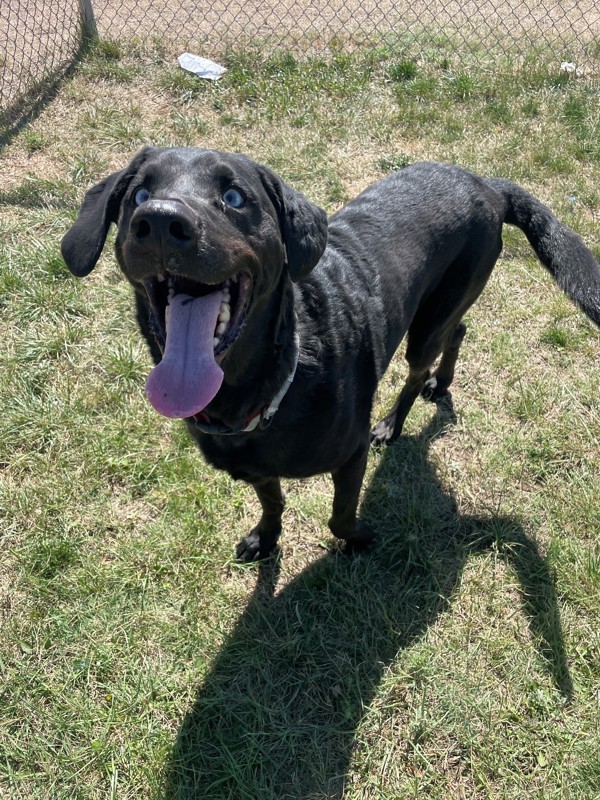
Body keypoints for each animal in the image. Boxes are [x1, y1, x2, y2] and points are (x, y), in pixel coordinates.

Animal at [62, 152, 600, 564]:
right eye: (137, 195)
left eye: (234, 198)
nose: (159, 220)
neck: (266, 385)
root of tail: (487, 185)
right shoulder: (257, 470)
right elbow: (273, 502)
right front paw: (265, 538)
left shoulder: (351, 455)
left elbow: (340, 516)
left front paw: (359, 540)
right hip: (441, 310)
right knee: (461, 331)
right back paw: (441, 384)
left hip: (433, 317)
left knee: (420, 364)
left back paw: (396, 420)